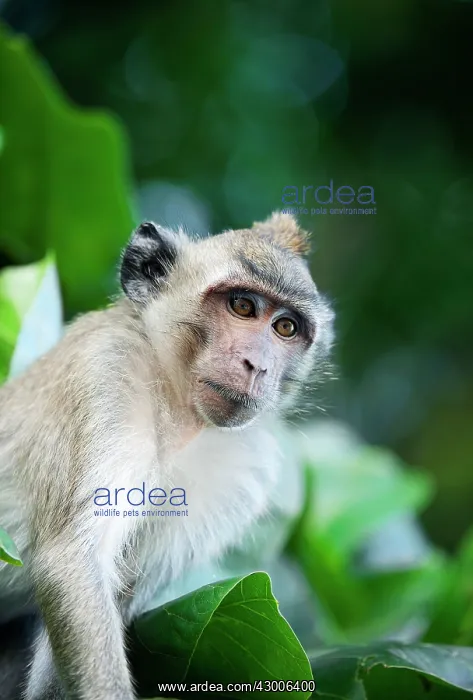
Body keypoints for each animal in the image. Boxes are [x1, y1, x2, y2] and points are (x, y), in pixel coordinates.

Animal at [0, 212, 334, 700]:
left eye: (286, 328)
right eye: (243, 306)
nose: (258, 366)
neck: (177, 405)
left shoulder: (245, 472)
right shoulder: (106, 374)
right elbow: (71, 565)